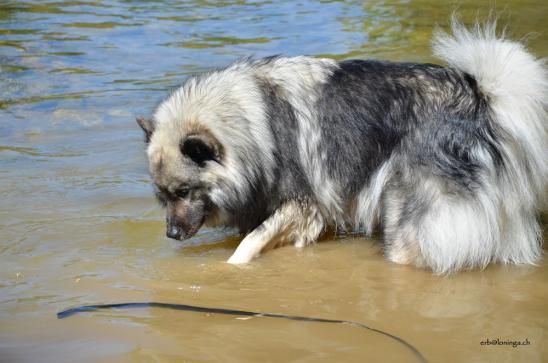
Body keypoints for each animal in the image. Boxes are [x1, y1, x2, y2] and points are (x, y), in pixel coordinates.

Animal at [138, 19, 548, 274]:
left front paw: (227, 271)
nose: (171, 235)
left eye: (184, 191)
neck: (252, 122)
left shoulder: (302, 204)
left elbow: (248, 245)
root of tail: (480, 100)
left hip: (406, 217)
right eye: (162, 196)